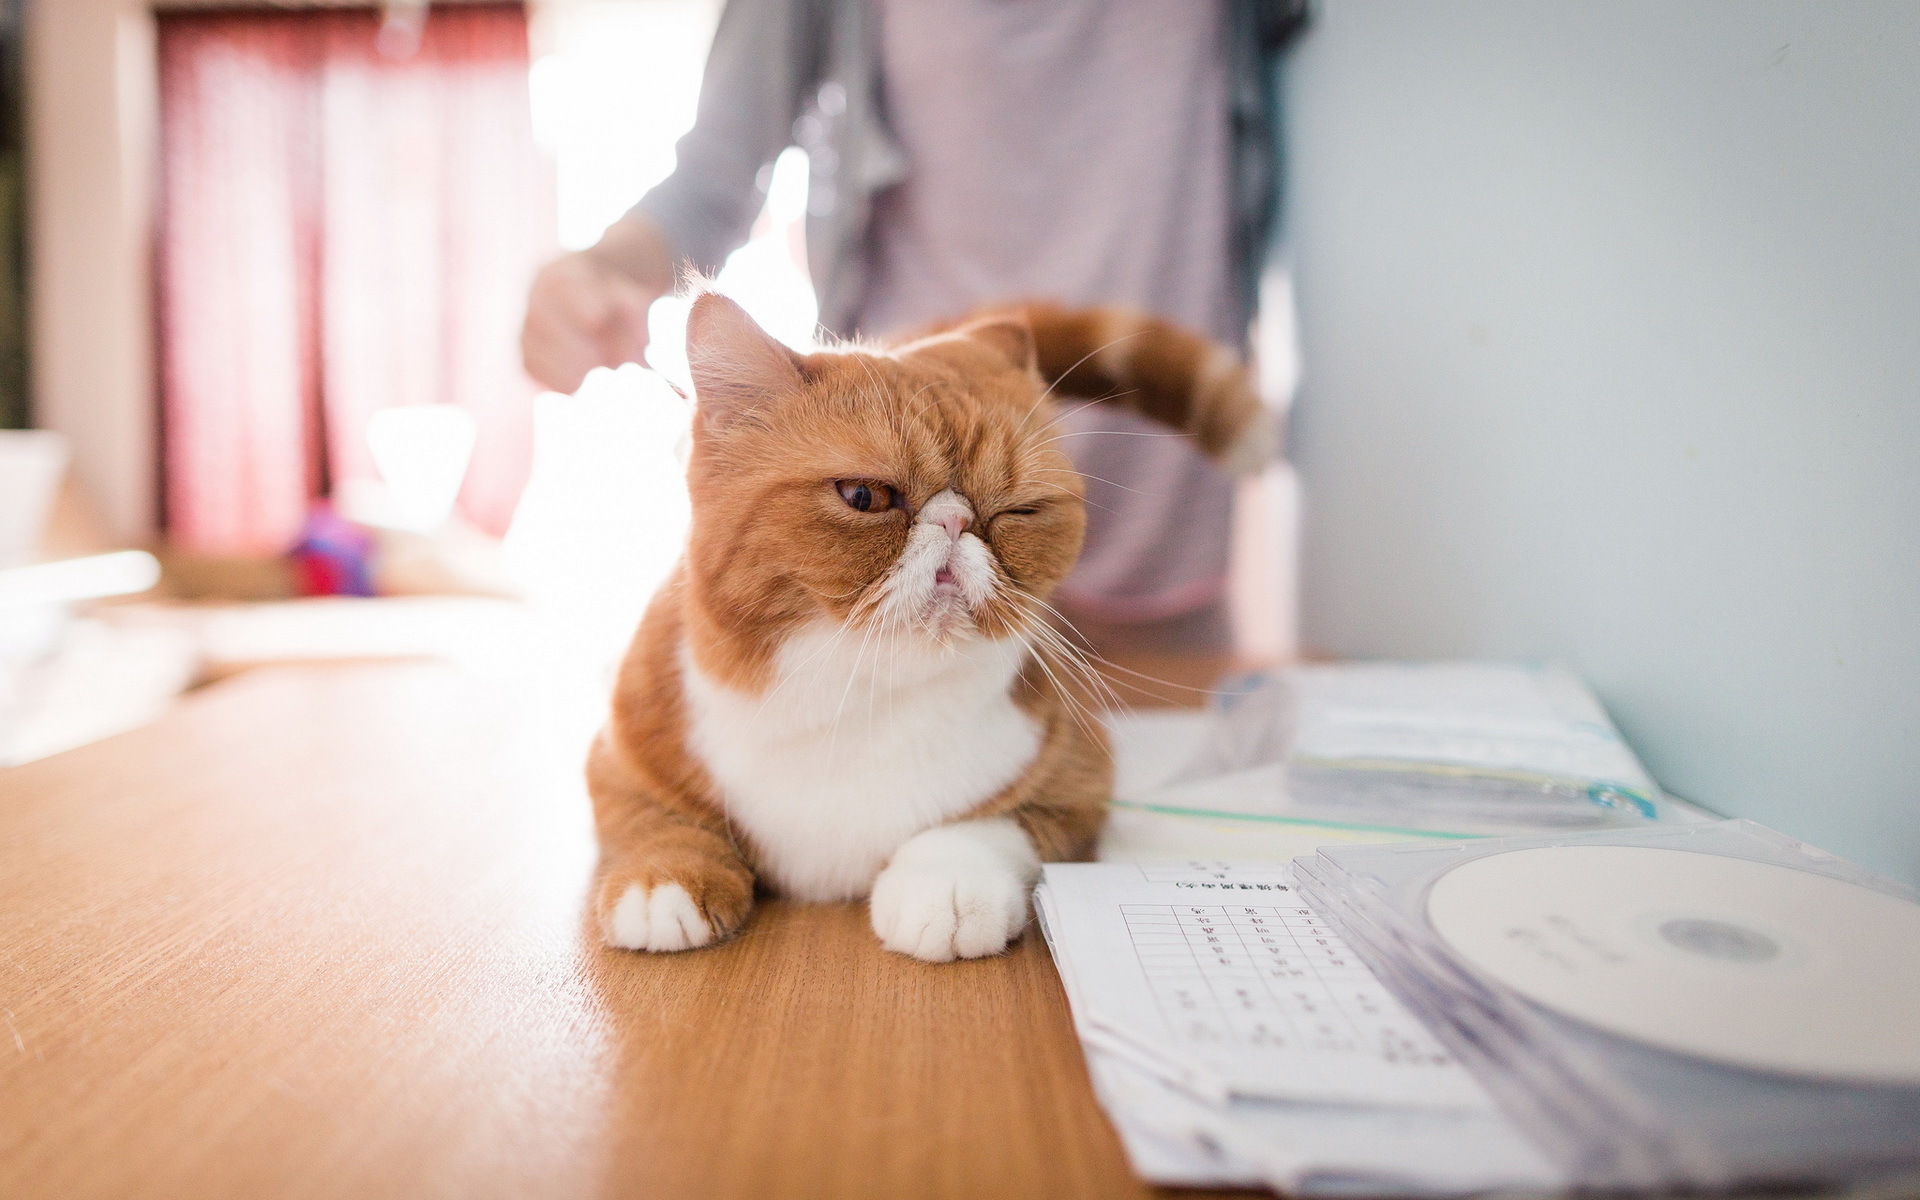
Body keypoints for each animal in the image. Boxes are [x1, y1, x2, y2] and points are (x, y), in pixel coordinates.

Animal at [583, 291, 1274, 963]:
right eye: (864, 496)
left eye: (1019, 510)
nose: (955, 521)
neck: (858, 699)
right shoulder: (619, 755)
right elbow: (653, 820)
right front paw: (662, 882)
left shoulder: (1081, 782)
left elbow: (990, 825)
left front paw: (946, 889)